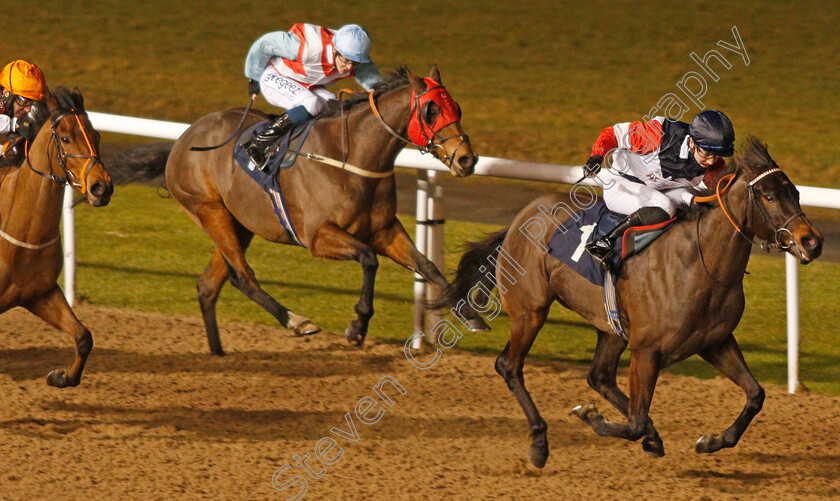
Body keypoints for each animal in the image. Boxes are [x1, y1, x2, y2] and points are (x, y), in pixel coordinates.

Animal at [0, 87, 112, 386]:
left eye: (96, 136)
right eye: (65, 138)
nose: (102, 188)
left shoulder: (40, 292)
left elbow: (83, 337)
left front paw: (62, 376)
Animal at [436, 137, 824, 464]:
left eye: (796, 192)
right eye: (769, 196)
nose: (812, 242)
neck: (700, 264)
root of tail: (521, 218)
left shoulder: (714, 341)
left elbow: (755, 395)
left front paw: (710, 441)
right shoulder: (647, 350)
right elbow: (634, 422)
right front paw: (591, 417)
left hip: (610, 325)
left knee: (600, 376)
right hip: (530, 310)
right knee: (510, 366)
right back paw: (540, 441)